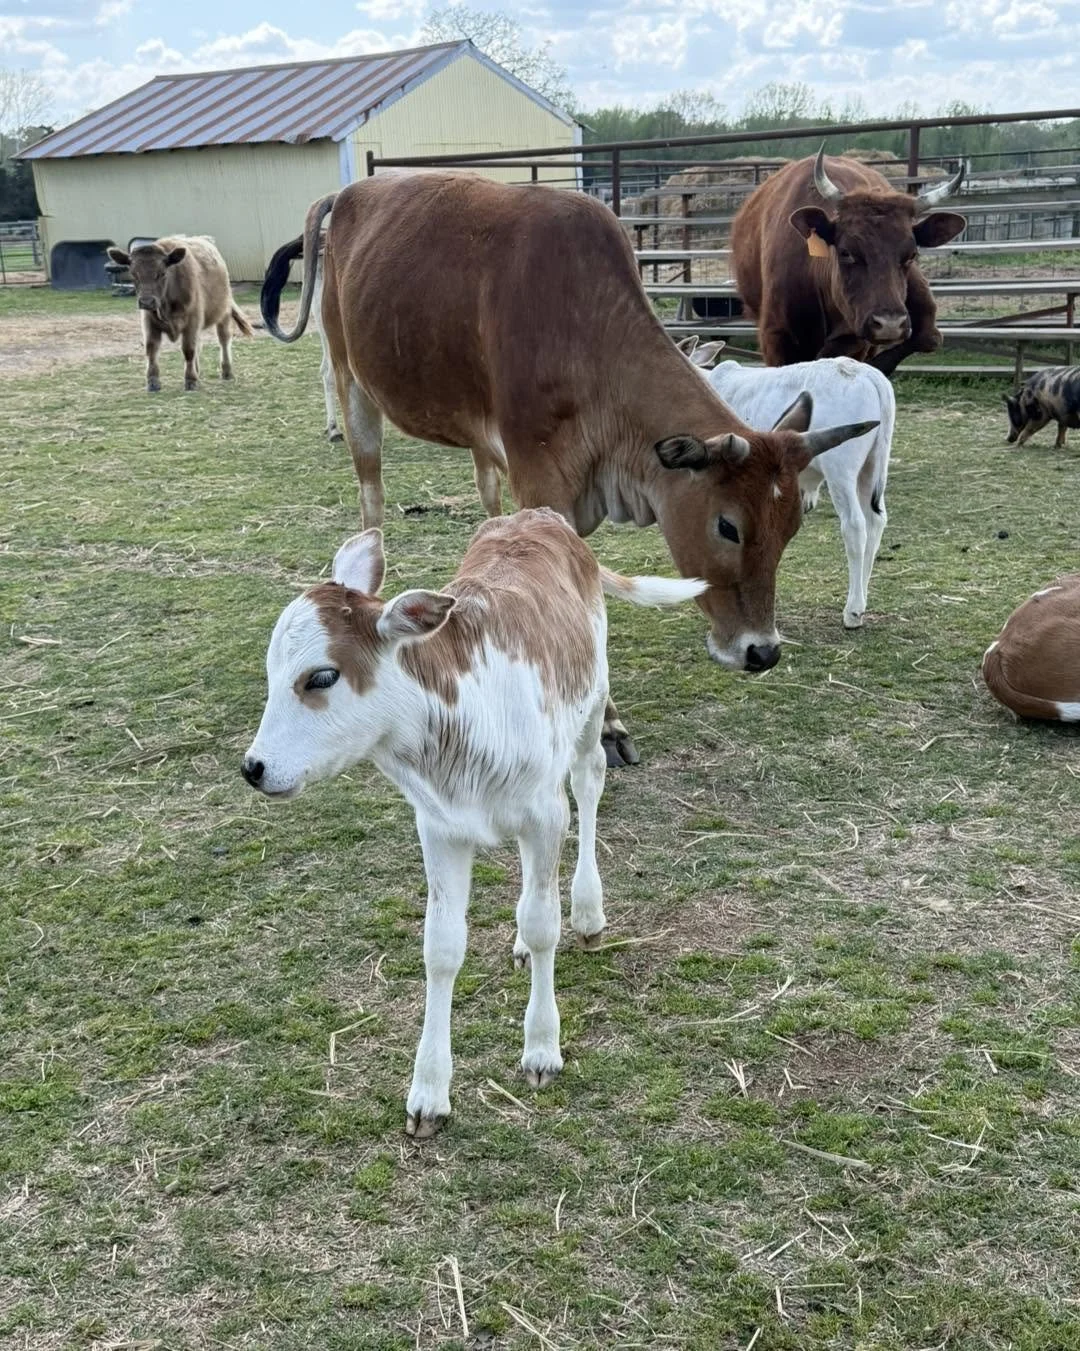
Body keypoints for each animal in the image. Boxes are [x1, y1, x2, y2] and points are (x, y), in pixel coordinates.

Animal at [106, 235, 253, 392]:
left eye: (162, 273)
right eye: (134, 275)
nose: (146, 302)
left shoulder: (192, 322)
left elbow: (189, 350)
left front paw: (190, 380)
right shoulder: (149, 323)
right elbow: (151, 349)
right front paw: (153, 382)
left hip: (223, 313)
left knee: (224, 340)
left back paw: (226, 372)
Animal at [241, 508, 708, 1136]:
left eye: (321, 677)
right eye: (271, 670)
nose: (254, 767)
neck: (461, 736)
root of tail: (544, 516)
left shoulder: (544, 812)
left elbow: (543, 922)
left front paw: (541, 1050)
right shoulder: (438, 826)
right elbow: (441, 945)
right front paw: (427, 1095)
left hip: (592, 701)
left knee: (587, 783)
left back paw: (588, 912)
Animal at [690, 354, 896, 630]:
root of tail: (864, 373)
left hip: (841, 469)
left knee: (854, 525)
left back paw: (852, 610)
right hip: (871, 468)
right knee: (876, 522)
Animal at [730, 149, 966, 376]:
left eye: (911, 255)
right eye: (846, 252)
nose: (889, 324)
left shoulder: (855, 337)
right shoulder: (775, 336)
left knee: (929, 336)